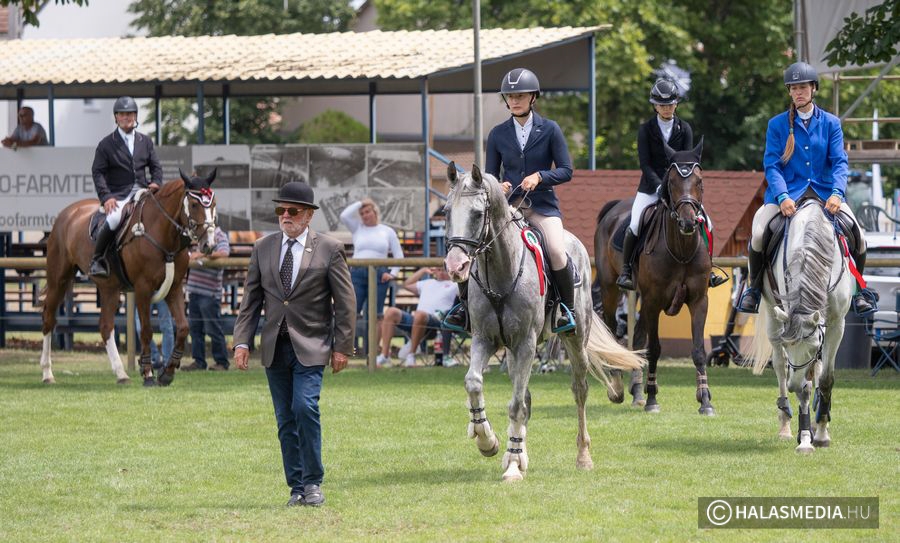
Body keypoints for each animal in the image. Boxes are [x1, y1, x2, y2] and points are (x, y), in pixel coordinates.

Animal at [39, 170, 218, 387]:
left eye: (213, 204)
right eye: (193, 205)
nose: (209, 244)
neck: (162, 234)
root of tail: (68, 212)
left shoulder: (174, 288)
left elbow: (183, 328)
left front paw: (167, 373)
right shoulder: (143, 289)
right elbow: (147, 331)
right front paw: (148, 374)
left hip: (109, 288)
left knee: (106, 326)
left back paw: (121, 374)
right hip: (59, 280)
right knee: (49, 319)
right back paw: (47, 374)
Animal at [443, 163, 645, 482]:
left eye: (476, 214)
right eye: (447, 212)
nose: (455, 266)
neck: (501, 272)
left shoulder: (526, 344)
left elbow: (515, 405)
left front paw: (512, 465)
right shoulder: (485, 339)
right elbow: (475, 383)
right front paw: (488, 441)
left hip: (575, 340)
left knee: (579, 390)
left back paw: (583, 456)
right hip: (513, 350)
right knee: (525, 395)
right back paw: (517, 451)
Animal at [593, 140, 716, 415]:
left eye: (700, 181)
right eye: (672, 182)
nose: (688, 223)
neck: (681, 250)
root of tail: (613, 209)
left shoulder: (699, 301)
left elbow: (698, 350)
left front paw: (705, 400)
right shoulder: (653, 302)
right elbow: (655, 349)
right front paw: (652, 399)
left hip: (640, 297)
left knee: (637, 337)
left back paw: (637, 391)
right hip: (611, 289)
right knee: (612, 330)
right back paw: (618, 388)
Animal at [744, 199, 853, 453]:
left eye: (812, 348)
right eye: (788, 344)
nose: (793, 384)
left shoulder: (836, 324)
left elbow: (825, 380)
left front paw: (821, 433)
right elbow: (804, 386)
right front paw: (804, 439)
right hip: (773, 315)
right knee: (781, 367)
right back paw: (785, 425)